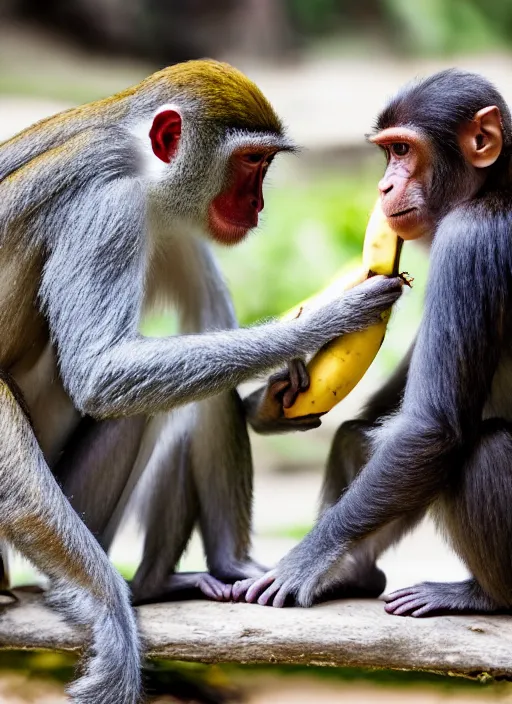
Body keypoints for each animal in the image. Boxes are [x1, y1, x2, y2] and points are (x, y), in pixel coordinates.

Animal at [0, 57, 400, 700]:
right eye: (250, 161)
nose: (257, 205)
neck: (141, 164)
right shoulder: (111, 208)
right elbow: (100, 373)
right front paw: (323, 322)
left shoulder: (172, 220)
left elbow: (206, 328)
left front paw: (273, 400)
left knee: (195, 393)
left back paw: (202, 573)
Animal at [233, 67, 512, 616]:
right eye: (387, 153)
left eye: (403, 149)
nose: (383, 185)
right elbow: (398, 402)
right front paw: (274, 398)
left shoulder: (468, 241)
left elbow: (431, 425)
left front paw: (303, 560)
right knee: (362, 437)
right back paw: (355, 573)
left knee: (482, 450)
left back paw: (480, 597)